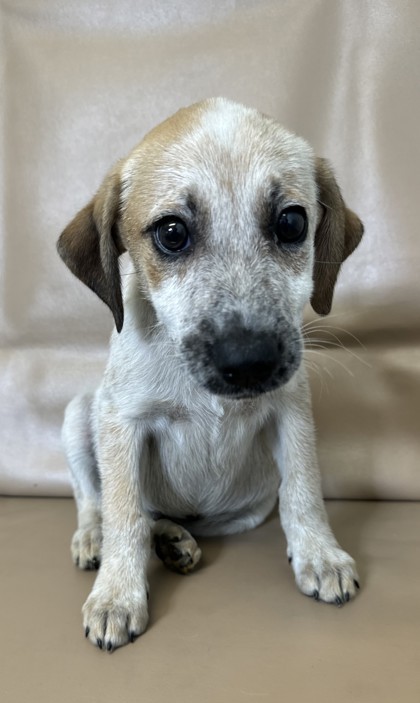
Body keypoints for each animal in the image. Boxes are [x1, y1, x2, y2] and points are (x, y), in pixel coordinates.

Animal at [57, 96, 362, 652]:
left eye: (292, 223)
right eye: (172, 233)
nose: (249, 361)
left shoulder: (291, 410)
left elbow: (304, 489)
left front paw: (320, 554)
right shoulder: (121, 423)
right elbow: (123, 511)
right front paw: (116, 595)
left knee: (157, 518)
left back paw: (173, 540)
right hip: (78, 414)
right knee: (97, 500)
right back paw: (96, 538)